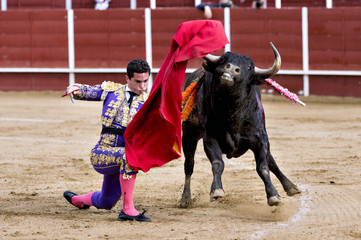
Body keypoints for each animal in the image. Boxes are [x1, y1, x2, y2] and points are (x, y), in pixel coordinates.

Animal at [180, 42, 300, 206]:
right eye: (223, 60)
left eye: (249, 67)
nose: (231, 68)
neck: (231, 110)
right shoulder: (210, 138)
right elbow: (217, 163)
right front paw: (216, 190)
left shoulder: (260, 139)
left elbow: (263, 167)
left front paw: (273, 195)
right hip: (189, 134)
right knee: (189, 165)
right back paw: (185, 199)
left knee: (272, 162)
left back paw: (291, 187)